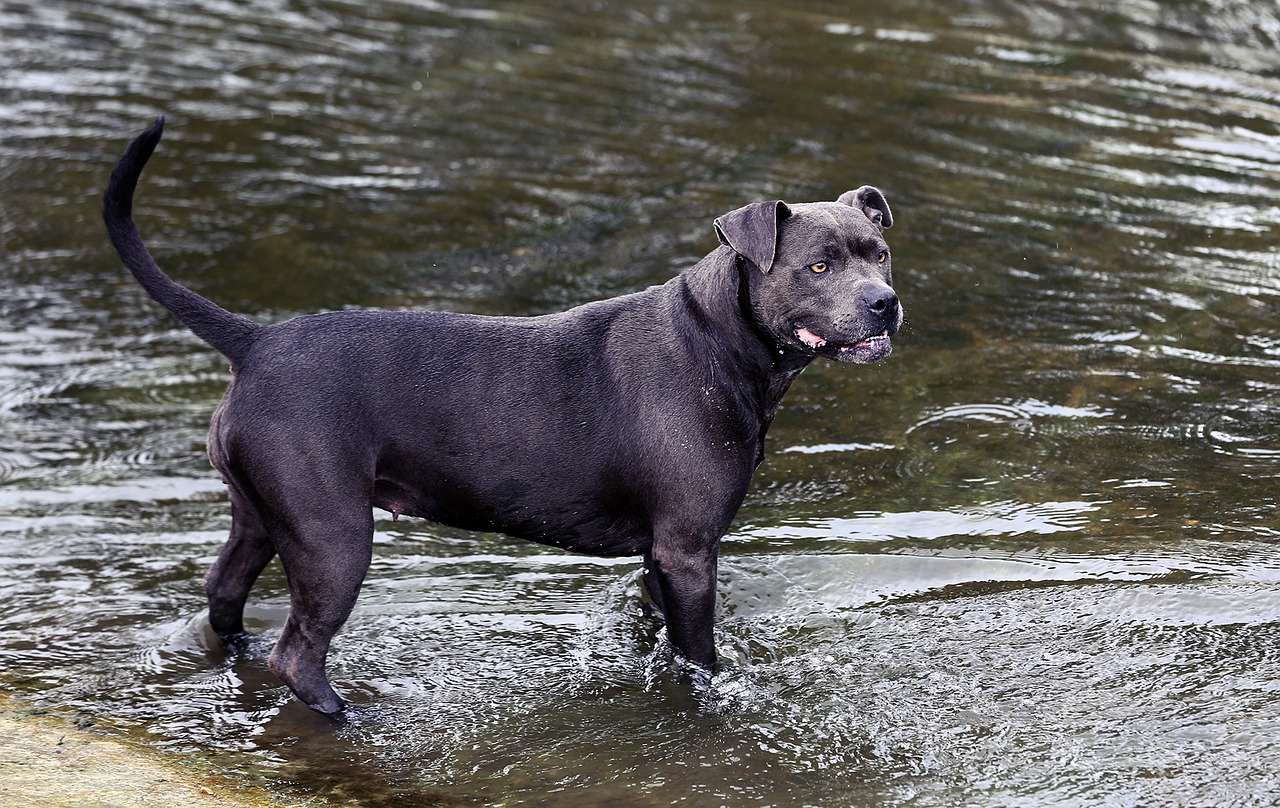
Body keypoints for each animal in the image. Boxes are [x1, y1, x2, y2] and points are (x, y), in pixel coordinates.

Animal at [104, 117, 906, 711]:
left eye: (880, 253)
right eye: (818, 265)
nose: (885, 302)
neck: (719, 339)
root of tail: (257, 341)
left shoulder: (662, 558)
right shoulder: (687, 550)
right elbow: (700, 660)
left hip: (263, 516)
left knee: (224, 595)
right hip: (334, 537)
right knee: (298, 656)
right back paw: (353, 716)